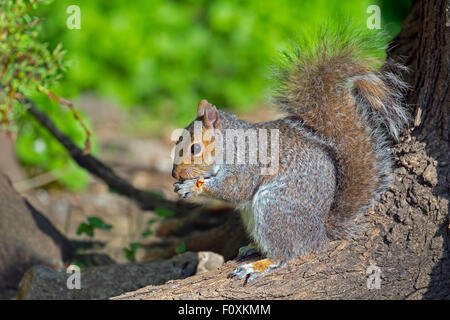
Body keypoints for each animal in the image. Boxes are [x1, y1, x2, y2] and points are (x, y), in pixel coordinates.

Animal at [171, 31, 408, 282]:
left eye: (195, 148)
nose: (175, 174)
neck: (230, 143)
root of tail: (318, 234)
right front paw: (183, 185)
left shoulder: (247, 164)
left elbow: (235, 189)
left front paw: (193, 187)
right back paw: (253, 247)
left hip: (274, 208)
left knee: (285, 253)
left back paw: (258, 265)